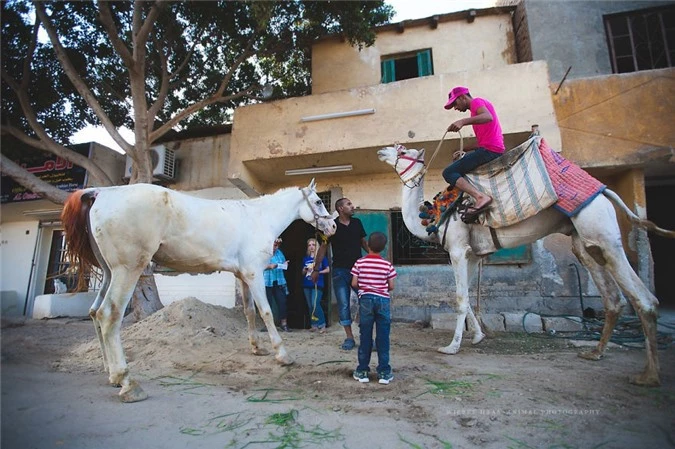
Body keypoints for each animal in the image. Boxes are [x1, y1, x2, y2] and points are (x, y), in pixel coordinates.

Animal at [62, 180, 336, 400]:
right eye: (318, 201)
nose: (332, 228)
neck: (258, 218)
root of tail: (100, 192)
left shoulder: (243, 275)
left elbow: (249, 312)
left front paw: (257, 348)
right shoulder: (255, 274)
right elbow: (266, 312)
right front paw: (283, 354)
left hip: (110, 272)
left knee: (95, 312)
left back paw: (111, 375)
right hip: (127, 270)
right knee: (109, 315)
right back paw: (128, 383)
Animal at [380, 144, 675, 384]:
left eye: (402, 149)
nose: (381, 151)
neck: (436, 217)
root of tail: (605, 191)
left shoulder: (458, 249)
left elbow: (460, 298)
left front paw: (452, 347)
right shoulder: (472, 254)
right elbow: (469, 298)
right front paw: (478, 336)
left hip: (601, 230)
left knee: (644, 298)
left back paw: (648, 375)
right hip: (584, 241)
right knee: (612, 297)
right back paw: (595, 353)